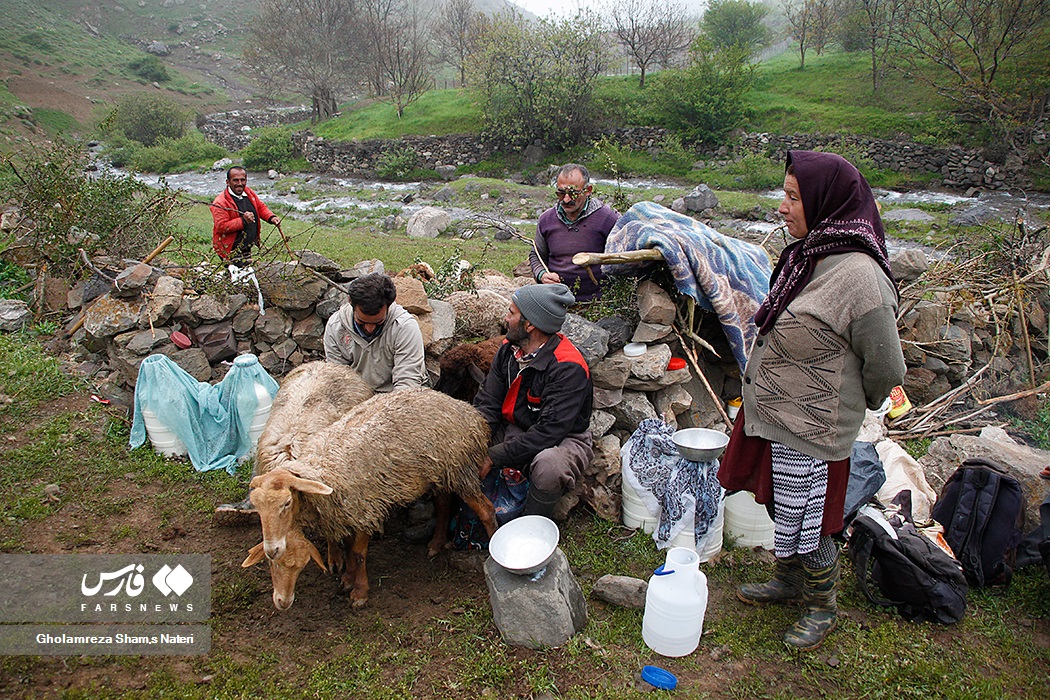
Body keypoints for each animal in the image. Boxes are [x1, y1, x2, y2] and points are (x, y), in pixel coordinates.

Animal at [241, 386, 495, 608]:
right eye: (258, 508)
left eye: (287, 503)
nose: (272, 549)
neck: (324, 468)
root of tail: (469, 411)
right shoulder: (345, 511)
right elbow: (349, 546)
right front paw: (347, 579)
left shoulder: (365, 508)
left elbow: (358, 552)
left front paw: (359, 592)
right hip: (438, 471)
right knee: (443, 504)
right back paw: (436, 543)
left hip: (460, 466)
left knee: (486, 509)